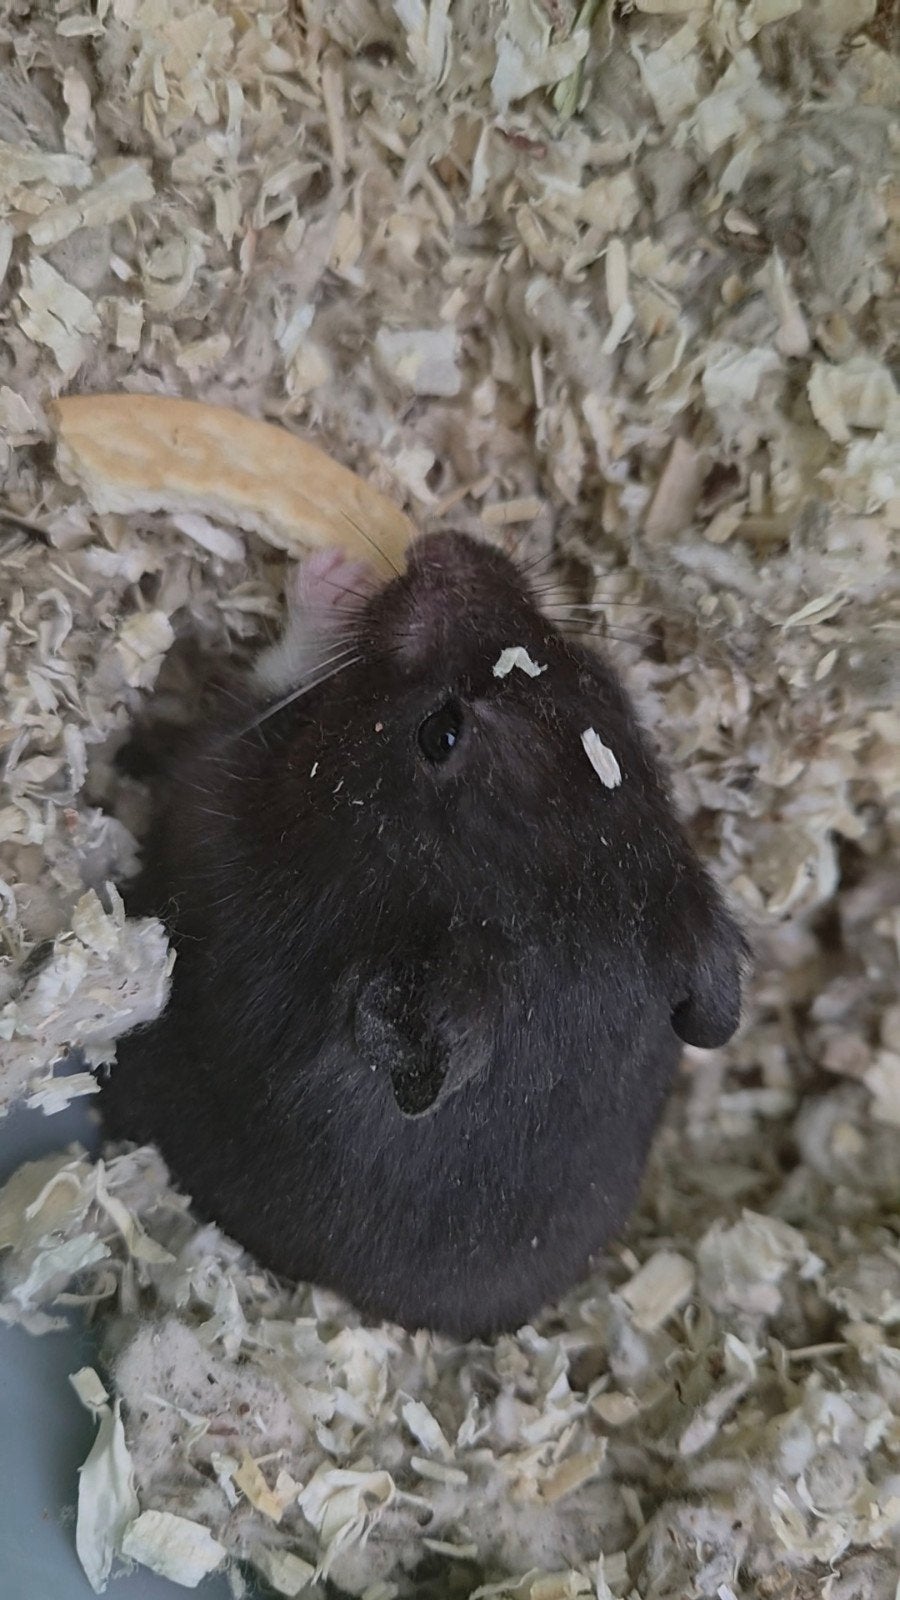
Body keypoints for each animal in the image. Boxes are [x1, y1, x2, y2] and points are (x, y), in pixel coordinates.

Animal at [101, 529, 746, 1339]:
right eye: (597, 677)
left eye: (442, 732)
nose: (445, 545)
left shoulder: (215, 798)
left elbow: (268, 678)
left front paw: (332, 573)